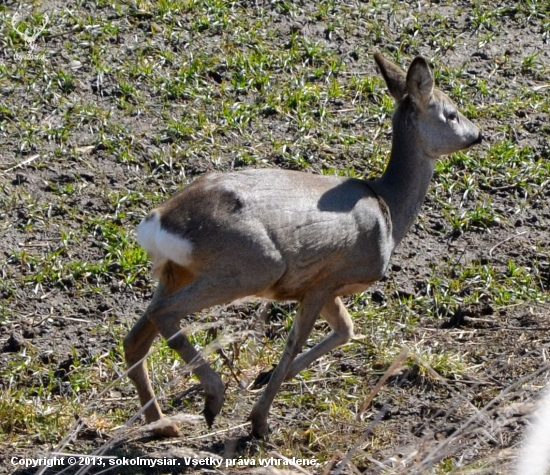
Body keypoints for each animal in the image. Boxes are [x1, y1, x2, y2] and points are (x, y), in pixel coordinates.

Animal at [124, 52, 484, 438]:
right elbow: (297, 340)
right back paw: (212, 399)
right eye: (451, 112)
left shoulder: (325, 289)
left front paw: (264, 381)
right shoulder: (324, 280)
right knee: (165, 315)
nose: (478, 134)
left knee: (136, 337)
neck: (388, 208)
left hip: (177, 271)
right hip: (249, 267)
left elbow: (344, 330)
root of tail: (157, 221)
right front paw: (259, 421)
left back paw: (163, 423)